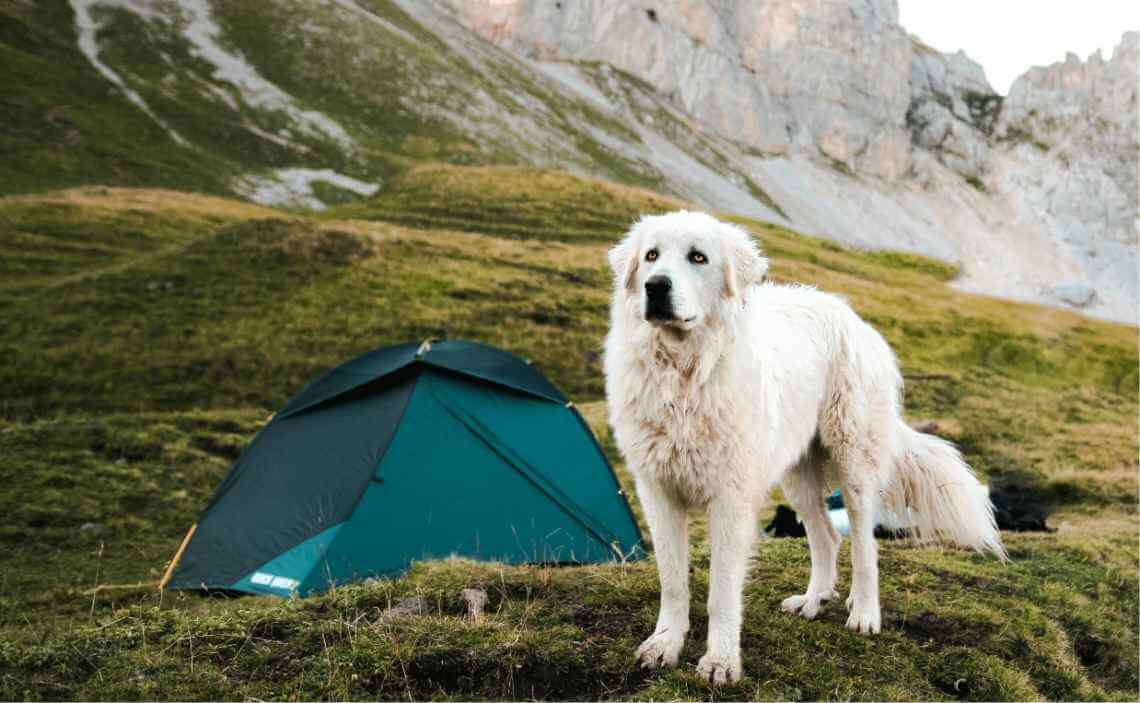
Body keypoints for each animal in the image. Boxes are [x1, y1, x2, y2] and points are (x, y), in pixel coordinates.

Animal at [601, 210, 1003, 683]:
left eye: (697, 257)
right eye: (651, 256)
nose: (656, 286)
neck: (684, 374)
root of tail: (851, 316)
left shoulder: (731, 499)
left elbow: (722, 591)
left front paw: (720, 661)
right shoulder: (657, 491)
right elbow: (673, 580)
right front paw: (665, 644)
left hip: (854, 462)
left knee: (865, 545)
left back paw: (865, 613)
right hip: (797, 474)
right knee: (826, 535)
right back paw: (814, 601)